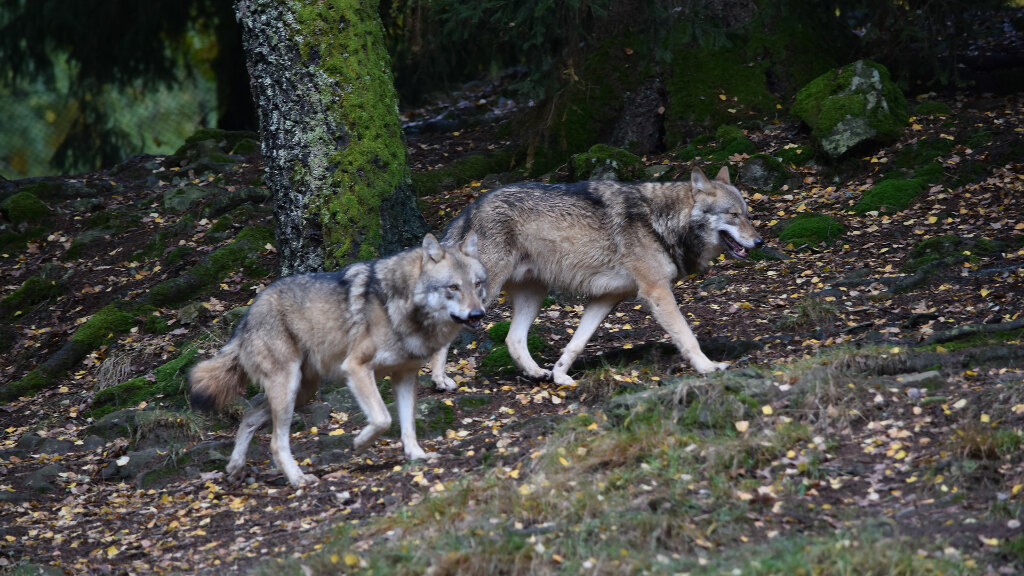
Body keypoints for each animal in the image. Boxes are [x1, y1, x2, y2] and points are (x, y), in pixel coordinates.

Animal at [189, 233, 487, 487]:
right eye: (453, 287)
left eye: (477, 285)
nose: (478, 315)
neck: (402, 306)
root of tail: (246, 317)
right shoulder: (356, 368)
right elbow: (383, 419)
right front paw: (359, 444)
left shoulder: (404, 375)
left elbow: (408, 425)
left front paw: (416, 455)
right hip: (288, 388)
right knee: (275, 442)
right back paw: (298, 479)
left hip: (303, 392)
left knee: (249, 417)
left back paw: (236, 467)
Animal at [430, 166, 762, 390]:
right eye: (732, 215)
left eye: (747, 214)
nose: (759, 242)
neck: (662, 223)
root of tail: (469, 210)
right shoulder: (656, 291)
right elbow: (687, 336)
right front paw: (708, 367)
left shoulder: (606, 298)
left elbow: (576, 343)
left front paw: (560, 375)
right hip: (482, 296)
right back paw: (440, 380)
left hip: (533, 295)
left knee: (513, 339)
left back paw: (537, 373)